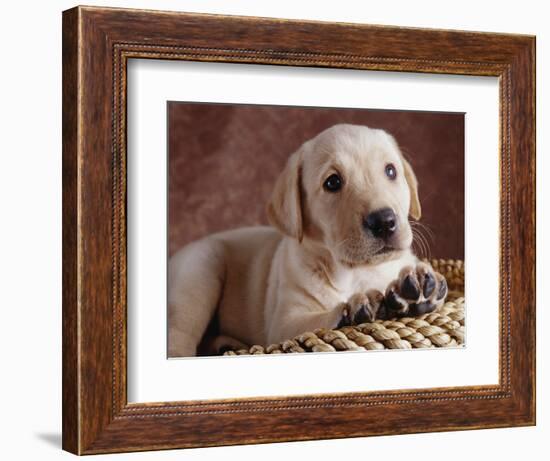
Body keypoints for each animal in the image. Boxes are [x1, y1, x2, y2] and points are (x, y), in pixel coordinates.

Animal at [168, 125, 448, 356]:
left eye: (390, 171)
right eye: (332, 182)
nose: (384, 221)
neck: (357, 272)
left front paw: (419, 287)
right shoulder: (284, 323)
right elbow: (316, 322)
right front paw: (356, 308)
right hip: (201, 270)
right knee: (180, 335)